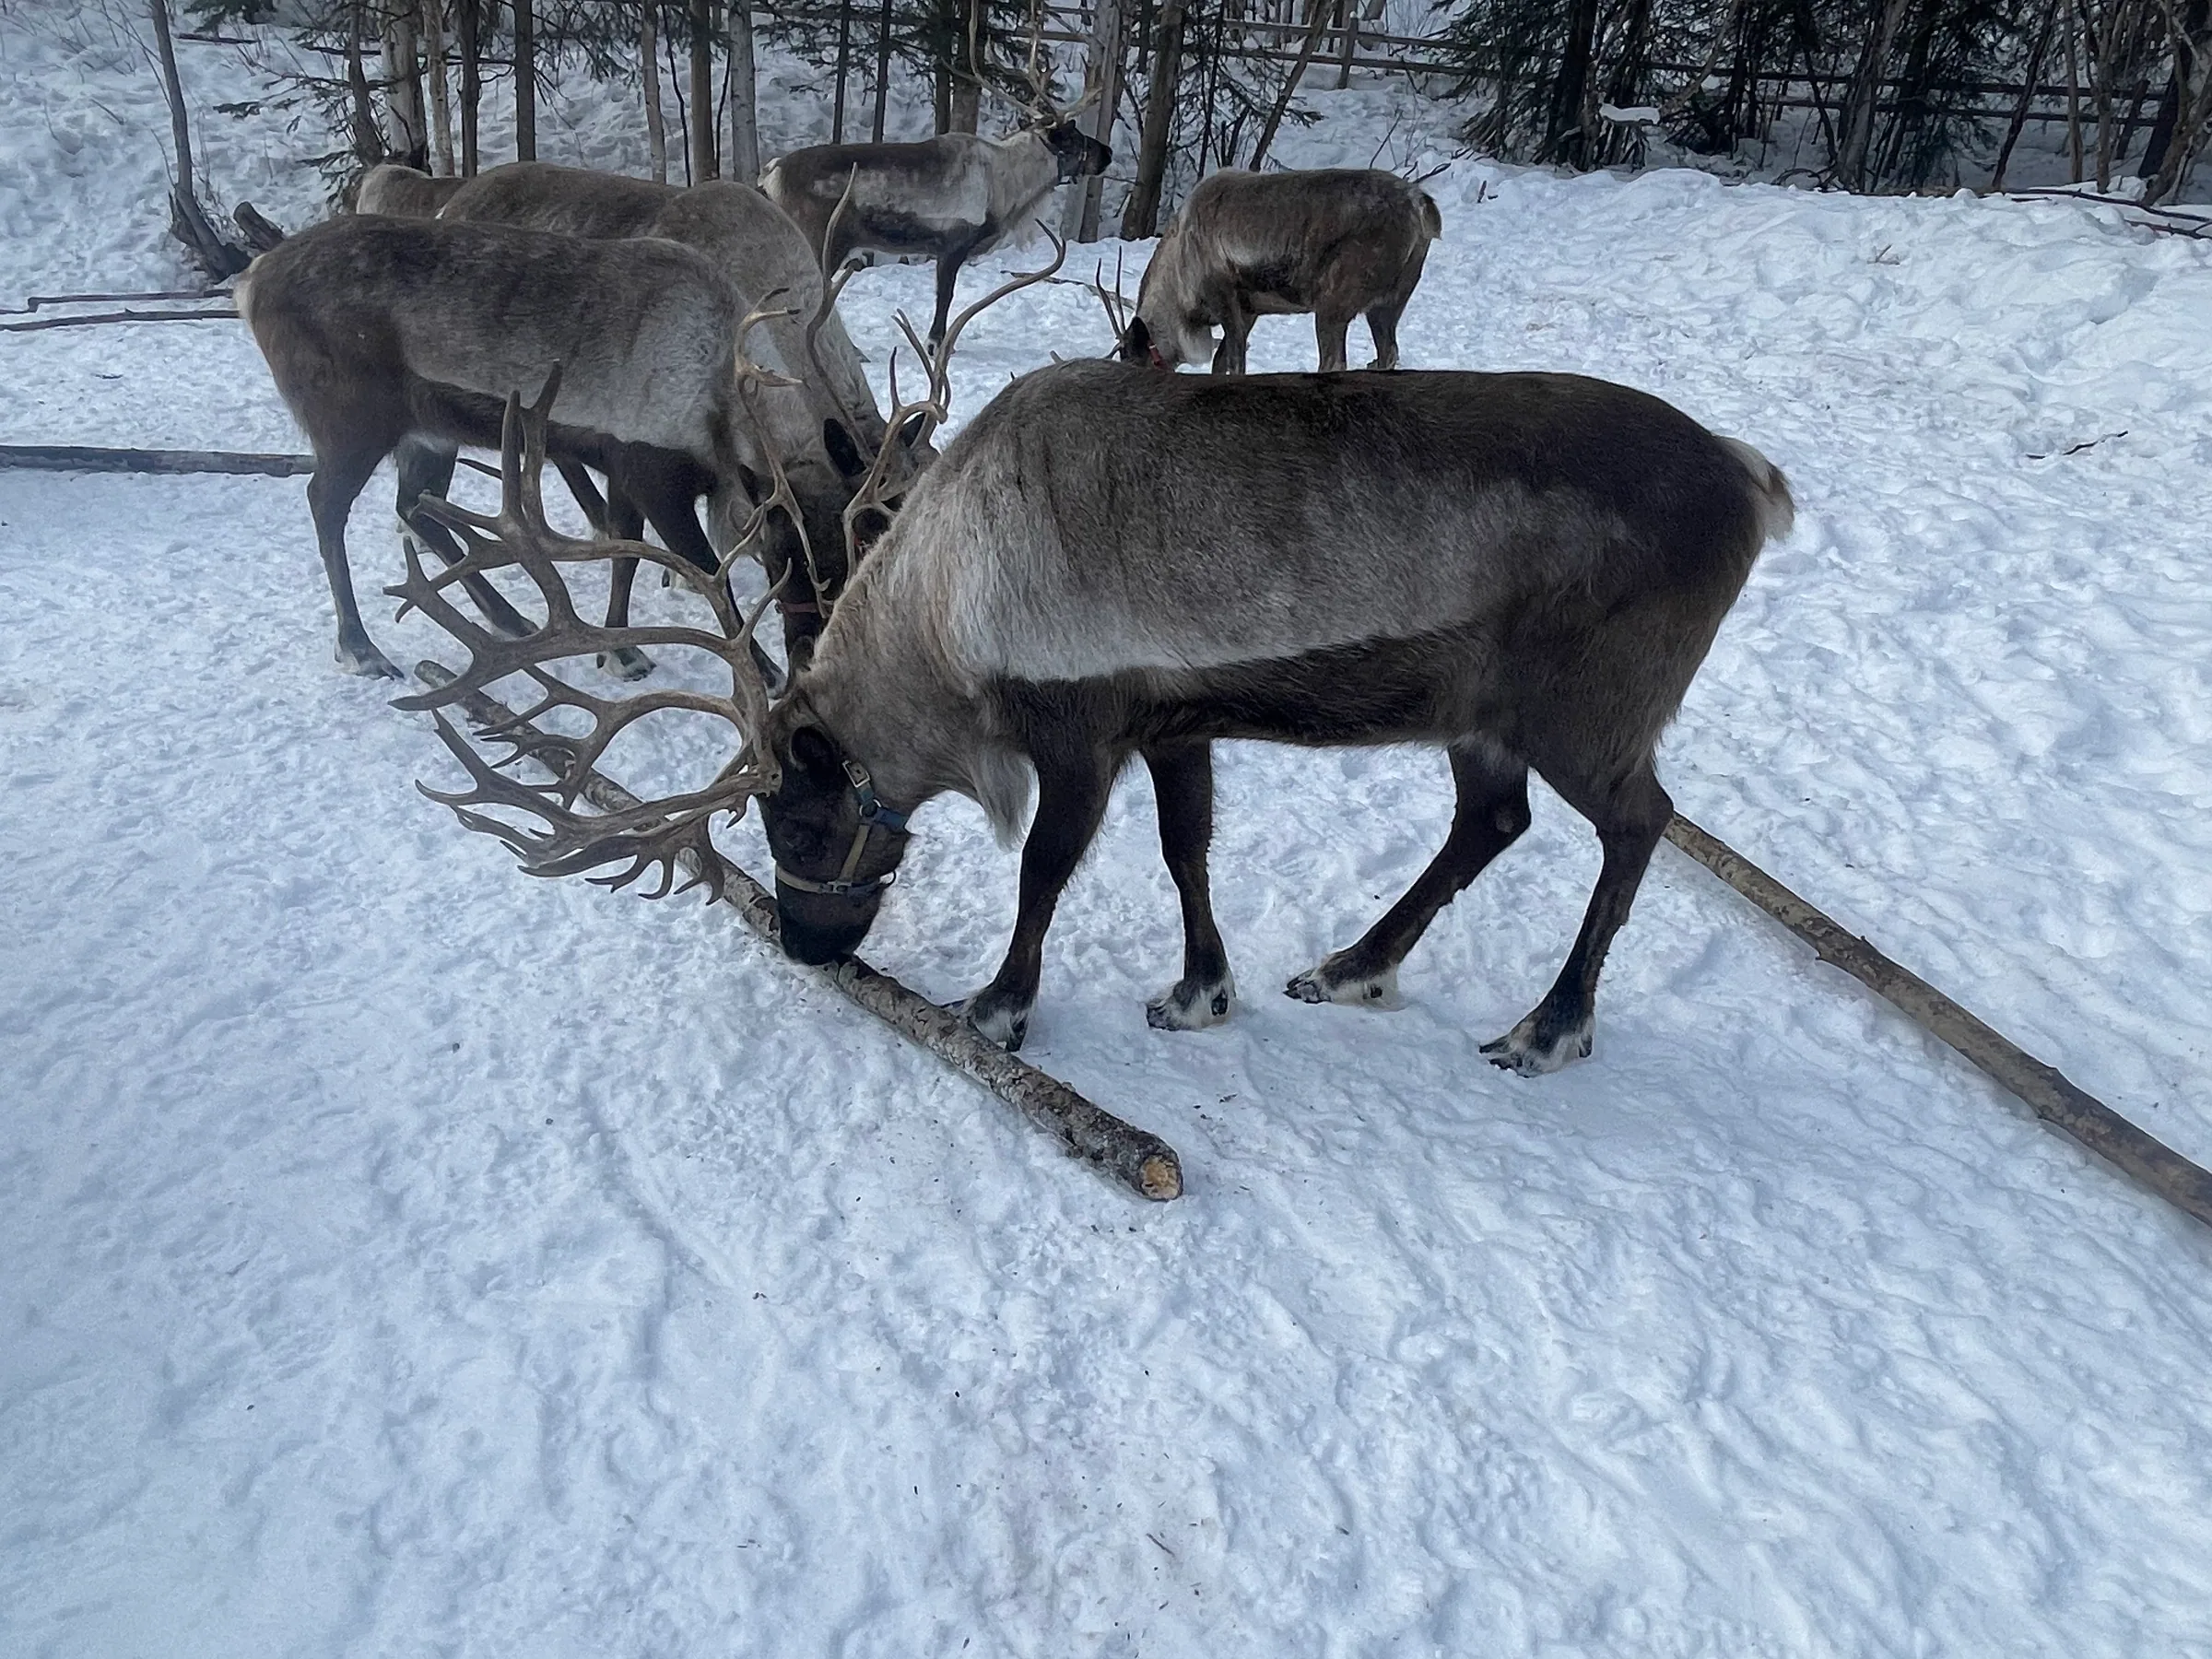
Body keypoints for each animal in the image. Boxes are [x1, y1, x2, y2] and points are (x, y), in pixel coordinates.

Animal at [410, 359, 1794, 1079]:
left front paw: (999, 1005)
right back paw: (1351, 964)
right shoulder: (1173, 723)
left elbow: (1043, 869)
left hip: (1590, 709)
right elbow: (1188, 850)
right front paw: (1201, 990)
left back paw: (1549, 1026)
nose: (806, 949)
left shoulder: (1073, 732)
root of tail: (1754, 479)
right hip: (1482, 714)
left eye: (795, 827)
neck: (942, 614)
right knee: (1493, 821)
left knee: (1637, 822)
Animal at [1118, 169, 1441, 374]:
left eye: (1134, 358)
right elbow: (1220, 362)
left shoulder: (1224, 297)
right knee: (1388, 353)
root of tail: (1421, 205)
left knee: (1333, 362)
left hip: (1333, 305)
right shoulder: (1249, 310)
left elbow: (1234, 363)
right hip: (1389, 304)